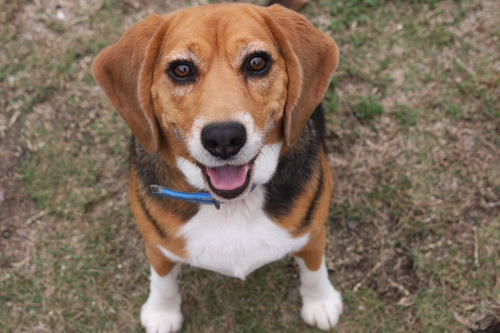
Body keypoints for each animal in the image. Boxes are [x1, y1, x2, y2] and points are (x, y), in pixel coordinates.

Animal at [92, 1, 342, 330]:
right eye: (182, 69)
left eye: (257, 62)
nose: (224, 138)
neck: (233, 206)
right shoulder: (157, 246)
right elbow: (162, 279)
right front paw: (162, 313)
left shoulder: (313, 233)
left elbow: (313, 269)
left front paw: (320, 302)